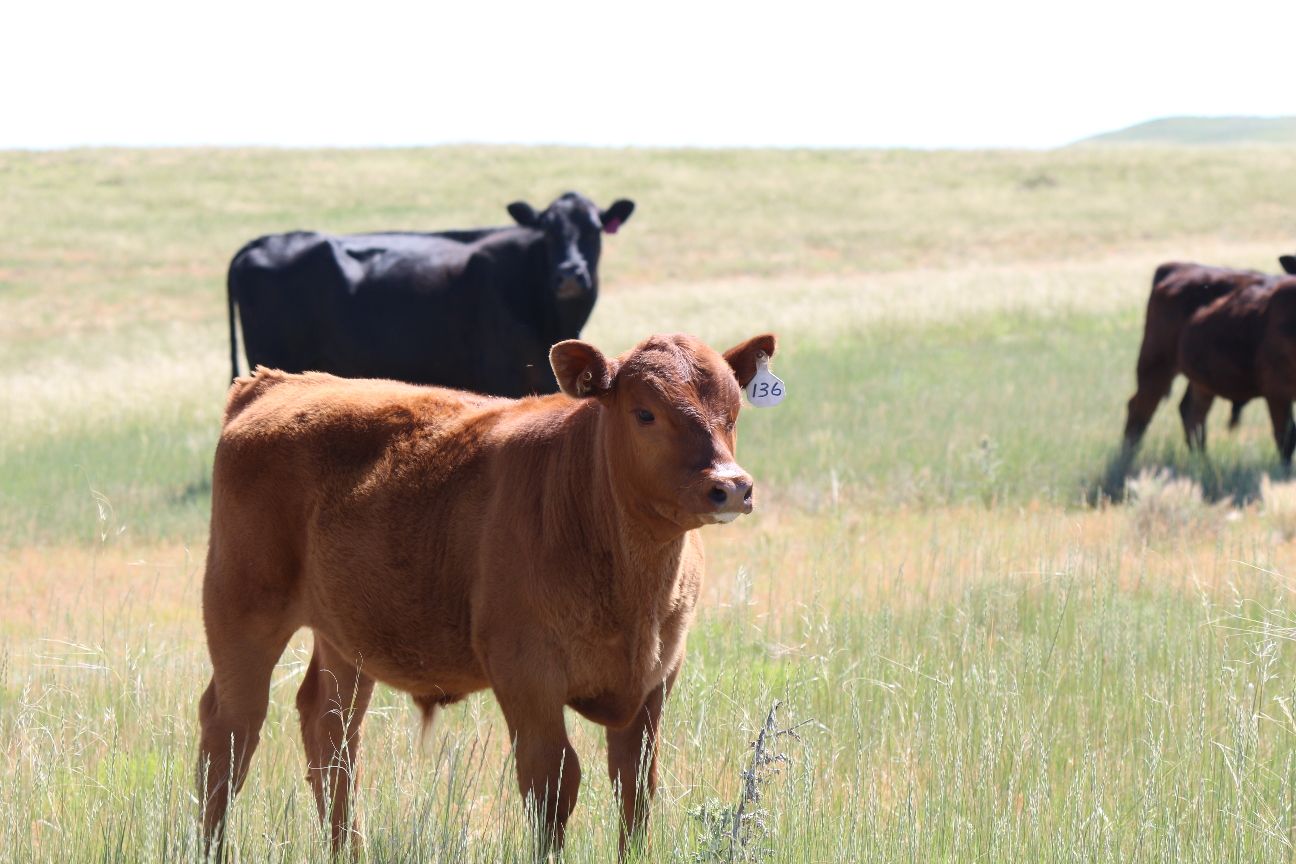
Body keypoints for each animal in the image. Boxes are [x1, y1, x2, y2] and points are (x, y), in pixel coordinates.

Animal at [196, 331, 778, 858]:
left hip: (346, 641)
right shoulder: (526, 675)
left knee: (331, 733)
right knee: (231, 731)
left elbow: (635, 786)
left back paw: (346, 849)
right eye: (645, 414)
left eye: (732, 412)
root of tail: (276, 383)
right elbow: (553, 783)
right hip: (241, 611)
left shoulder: (657, 677)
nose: (731, 486)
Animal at [1124, 260, 1296, 465]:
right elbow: (1287, 439)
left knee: (1192, 413)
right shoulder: (1278, 391)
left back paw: (1203, 464)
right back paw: (1125, 461)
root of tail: (1177, 266)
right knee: (1140, 411)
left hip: (1201, 380)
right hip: (1155, 365)